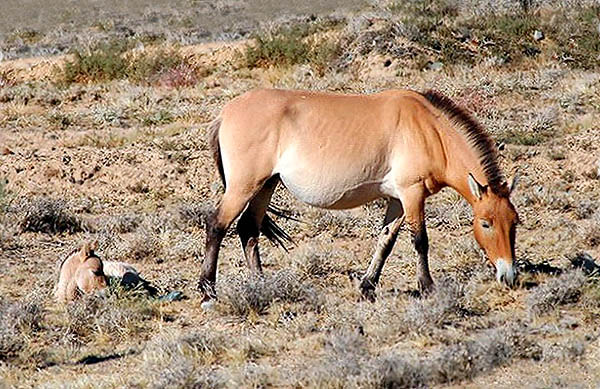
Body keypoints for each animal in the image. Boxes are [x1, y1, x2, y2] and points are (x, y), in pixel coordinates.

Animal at [199, 88, 516, 300]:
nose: (508, 276)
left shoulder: (396, 200)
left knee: (248, 229)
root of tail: (225, 113)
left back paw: (261, 285)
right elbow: (420, 241)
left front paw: (367, 286)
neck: (429, 130)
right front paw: (428, 287)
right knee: (217, 225)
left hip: (265, 186)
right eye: (486, 223)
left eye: (514, 222)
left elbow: (386, 241)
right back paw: (207, 291)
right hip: (243, 187)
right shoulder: (411, 194)